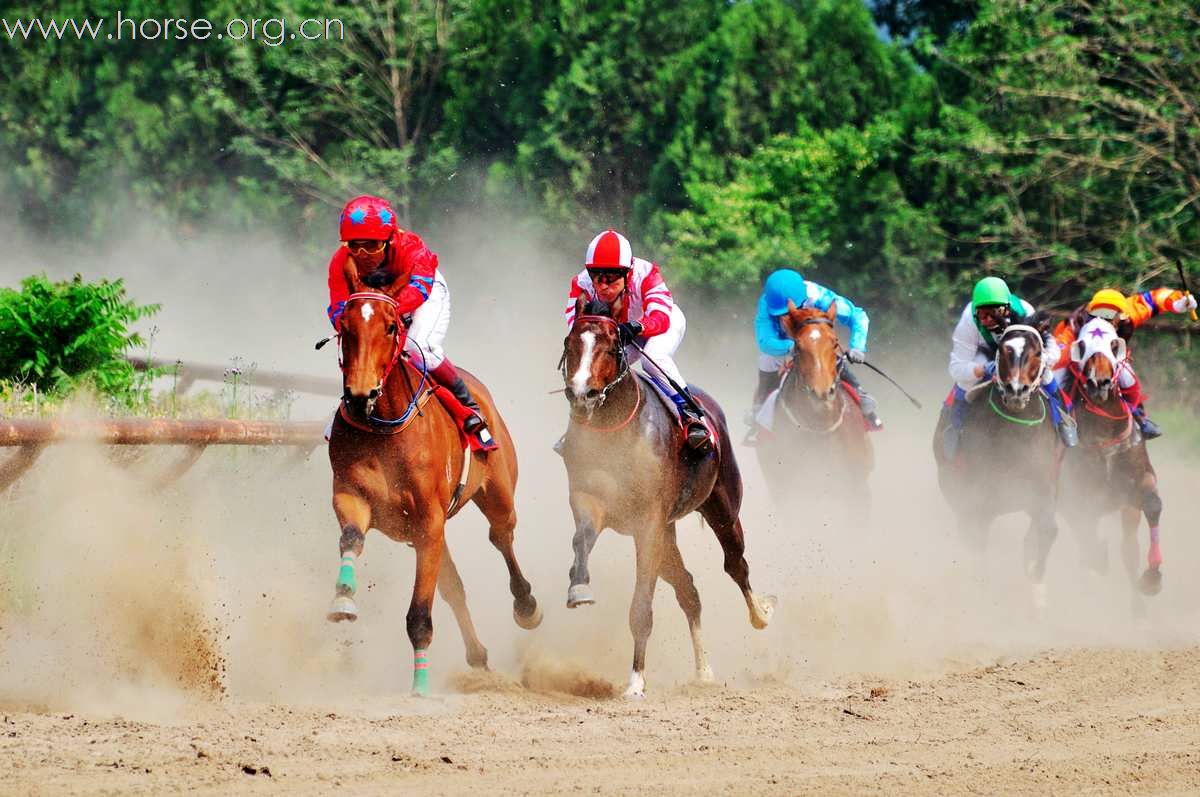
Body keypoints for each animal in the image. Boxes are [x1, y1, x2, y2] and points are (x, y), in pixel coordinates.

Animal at [324, 258, 540, 696]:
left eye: (391, 327)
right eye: (345, 326)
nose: (359, 394)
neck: (384, 424)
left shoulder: (429, 521)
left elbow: (419, 615)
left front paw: (420, 687)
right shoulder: (353, 496)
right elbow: (351, 537)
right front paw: (343, 598)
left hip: (497, 495)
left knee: (502, 538)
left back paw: (526, 605)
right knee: (453, 586)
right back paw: (478, 655)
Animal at [556, 292, 772, 696]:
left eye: (610, 347)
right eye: (570, 343)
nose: (582, 395)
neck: (615, 429)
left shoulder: (649, 522)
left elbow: (641, 605)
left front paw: (636, 682)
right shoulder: (591, 500)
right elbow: (582, 538)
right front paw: (578, 587)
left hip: (722, 509)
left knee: (736, 564)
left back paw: (761, 614)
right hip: (668, 535)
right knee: (689, 589)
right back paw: (703, 671)